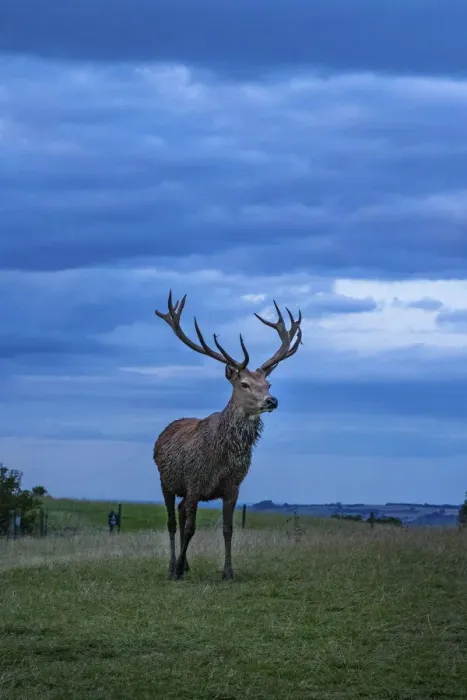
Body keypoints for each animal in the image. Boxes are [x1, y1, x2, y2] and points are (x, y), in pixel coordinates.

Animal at [153, 290, 303, 580]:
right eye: (244, 384)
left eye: (268, 384)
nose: (272, 400)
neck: (220, 456)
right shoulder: (194, 481)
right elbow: (190, 528)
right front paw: (178, 569)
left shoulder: (233, 486)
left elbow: (228, 529)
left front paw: (228, 572)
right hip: (167, 482)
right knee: (172, 522)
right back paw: (172, 566)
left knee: (180, 513)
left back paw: (185, 565)